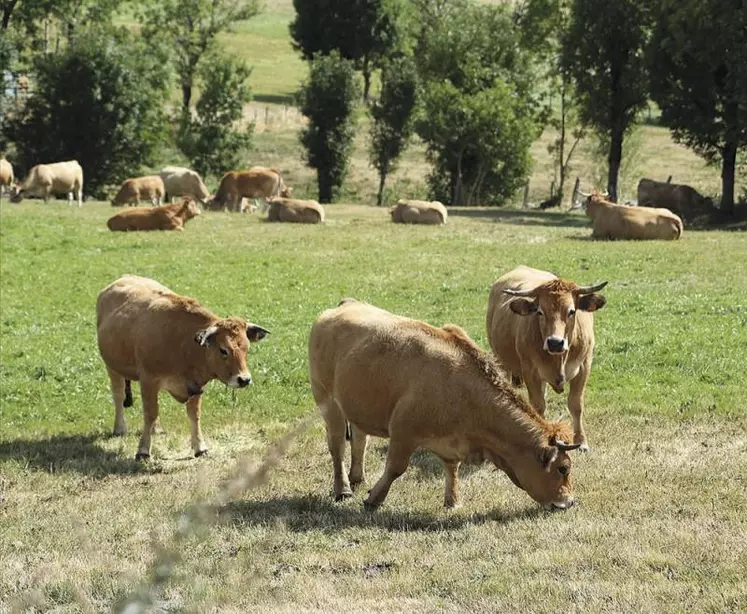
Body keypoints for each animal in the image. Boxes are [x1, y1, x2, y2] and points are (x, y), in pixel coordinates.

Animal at [96, 276, 270, 460]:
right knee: (119, 395)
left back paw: (157, 428)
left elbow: (194, 415)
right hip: (112, 367)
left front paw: (200, 447)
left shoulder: (195, 385)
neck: (182, 343)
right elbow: (149, 413)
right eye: (223, 350)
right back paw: (120, 427)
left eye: (247, 348)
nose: (244, 379)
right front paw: (143, 450)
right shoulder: (149, 380)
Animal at [310, 300, 584, 512]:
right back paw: (343, 489)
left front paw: (452, 501)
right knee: (337, 446)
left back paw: (357, 476)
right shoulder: (402, 433)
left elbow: (452, 468)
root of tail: (343, 306)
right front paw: (374, 499)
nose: (569, 502)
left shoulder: (452, 442)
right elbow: (395, 468)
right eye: (563, 468)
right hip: (327, 401)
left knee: (359, 438)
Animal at [486, 268, 608, 452]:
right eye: (540, 311)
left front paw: (582, 442)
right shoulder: (530, 372)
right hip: (502, 362)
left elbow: (576, 405)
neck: (559, 358)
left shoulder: (584, 367)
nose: (555, 342)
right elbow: (538, 406)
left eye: (571, 311)